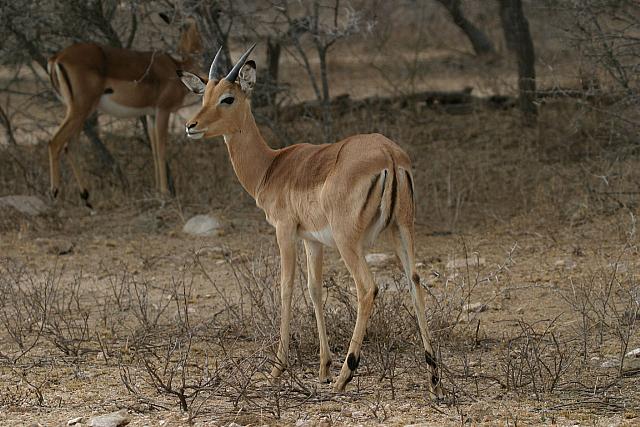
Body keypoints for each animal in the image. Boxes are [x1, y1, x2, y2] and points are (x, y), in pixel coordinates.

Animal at [47, 14, 203, 207]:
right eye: (188, 26)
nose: (200, 47)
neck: (176, 66)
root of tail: (57, 58)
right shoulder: (162, 111)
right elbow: (161, 150)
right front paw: (165, 194)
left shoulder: (150, 114)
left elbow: (153, 151)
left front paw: (157, 191)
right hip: (80, 110)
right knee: (55, 142)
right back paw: (55, 194)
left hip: (79, 113)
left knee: (71, 146)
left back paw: (87, 198)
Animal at [178, 45, 444, 399]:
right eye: (203, 94)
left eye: (228, 98)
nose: (190, 125)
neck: (271, 167)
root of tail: (389, 154)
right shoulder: (312, 240)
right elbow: (314, 290)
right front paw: (322, 368)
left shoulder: (285, 231)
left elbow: (286, 288)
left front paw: (278, 369)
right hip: (401, 229)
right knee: (415, 281)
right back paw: (433, 379)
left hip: (349, 242)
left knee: (367, 288)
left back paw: (347, 374)